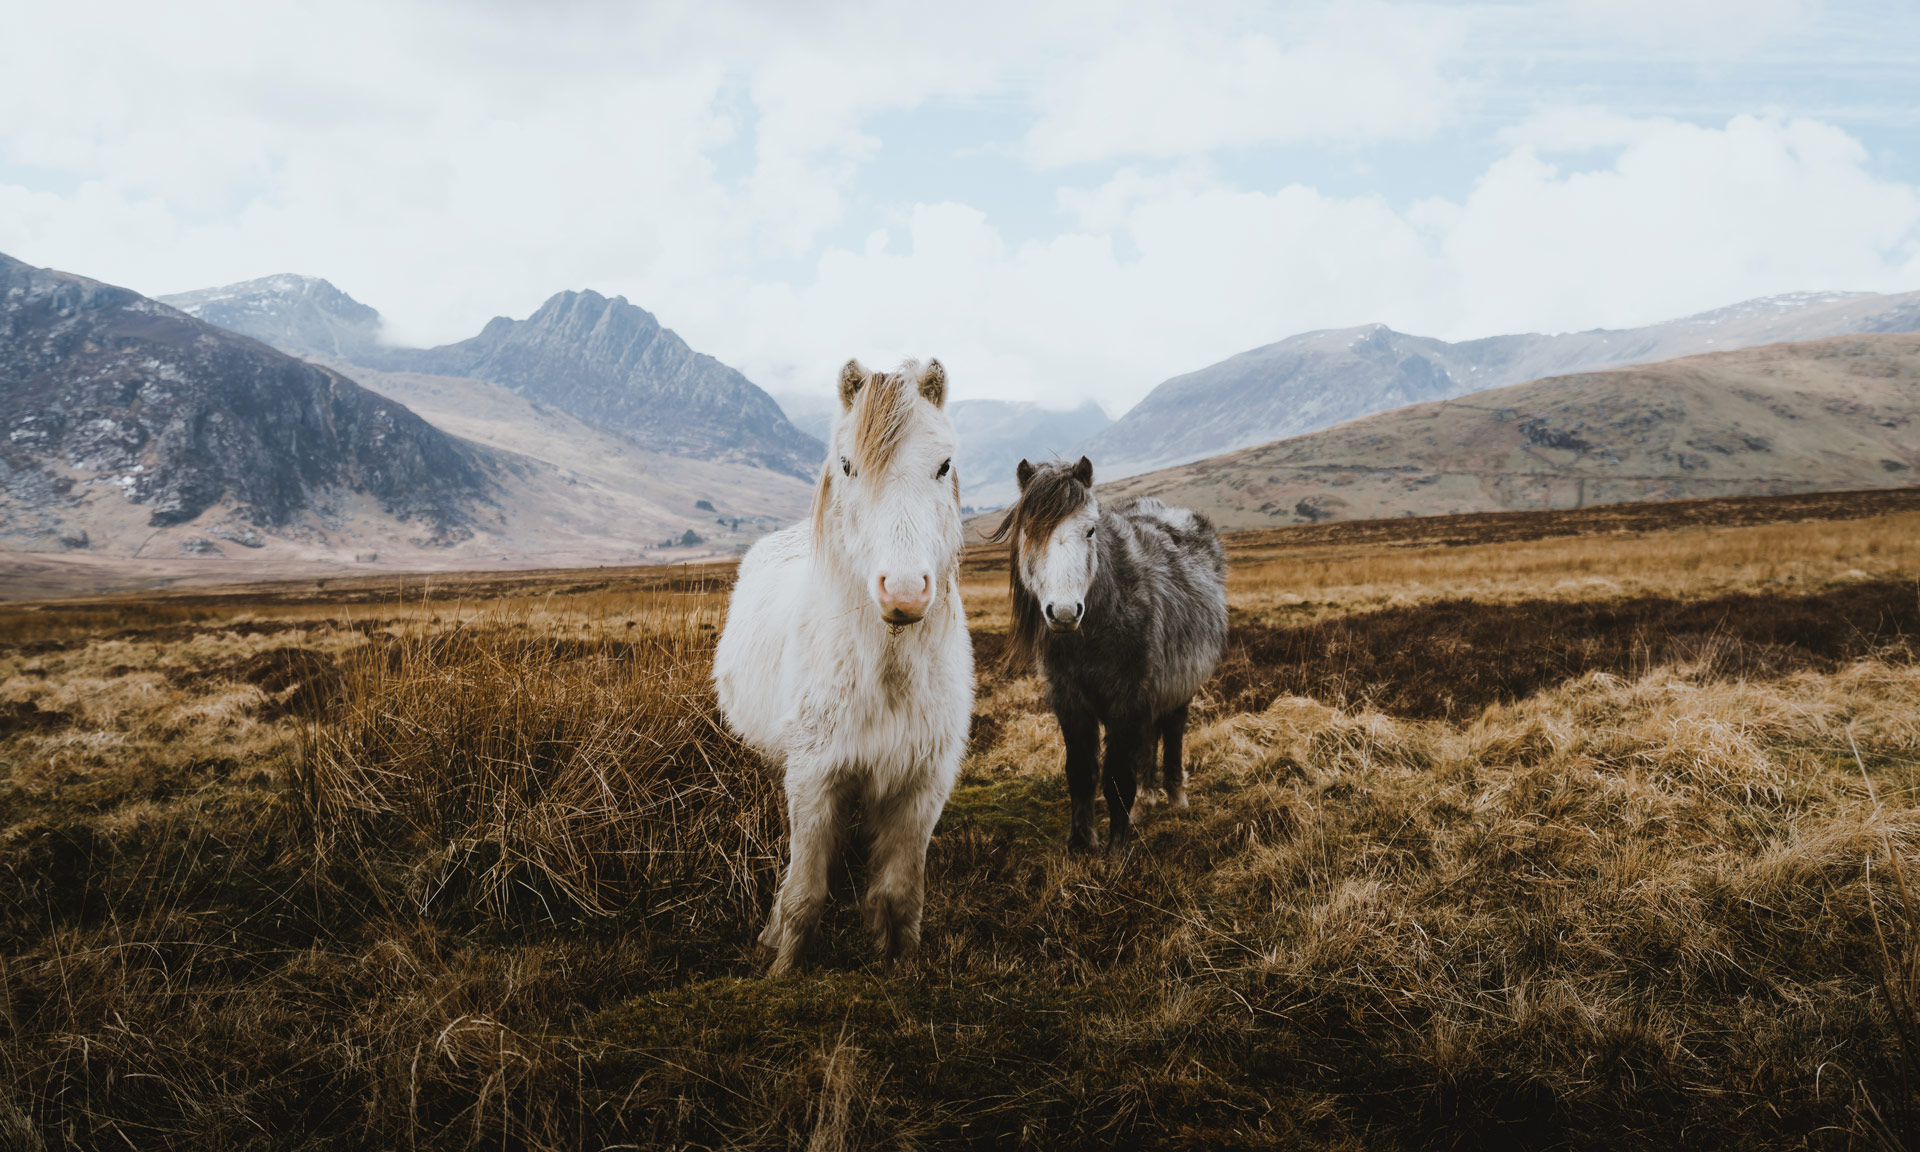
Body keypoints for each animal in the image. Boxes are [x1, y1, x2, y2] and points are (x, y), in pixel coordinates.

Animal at [710, 357, 967, 971]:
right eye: (847, 465)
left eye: (944, 464)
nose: (904, 592)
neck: (888, 674)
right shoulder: (813, 778)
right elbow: (805, 892)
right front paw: (781, 966)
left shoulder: (922, 788)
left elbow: (901, 894)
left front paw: (900, 964)